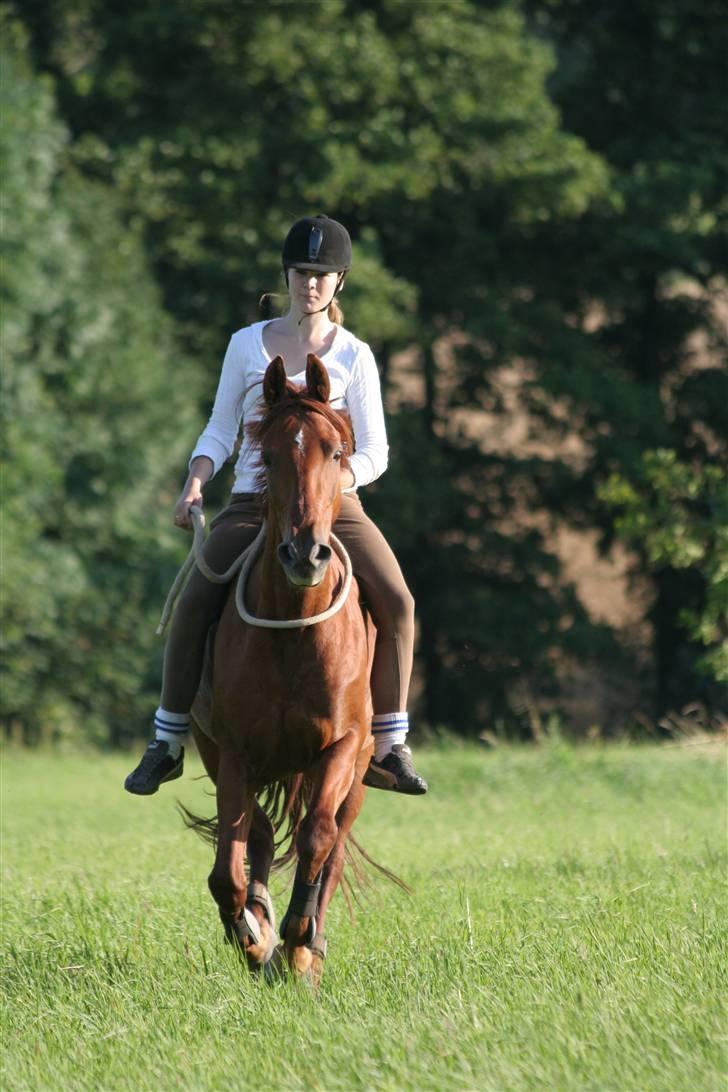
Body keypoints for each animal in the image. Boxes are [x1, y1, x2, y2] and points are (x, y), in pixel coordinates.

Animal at [187, 355, 379, 982]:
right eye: (266, 456)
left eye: (337, 453)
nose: (304, 554)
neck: (294, 632)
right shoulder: (233, 753)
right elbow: (228, 869)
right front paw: (252, 936)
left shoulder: (342, 747)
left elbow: (318, 836)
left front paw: (299, 935)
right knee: (263, 838)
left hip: (361, 770)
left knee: (333, 844)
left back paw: (304, 946)